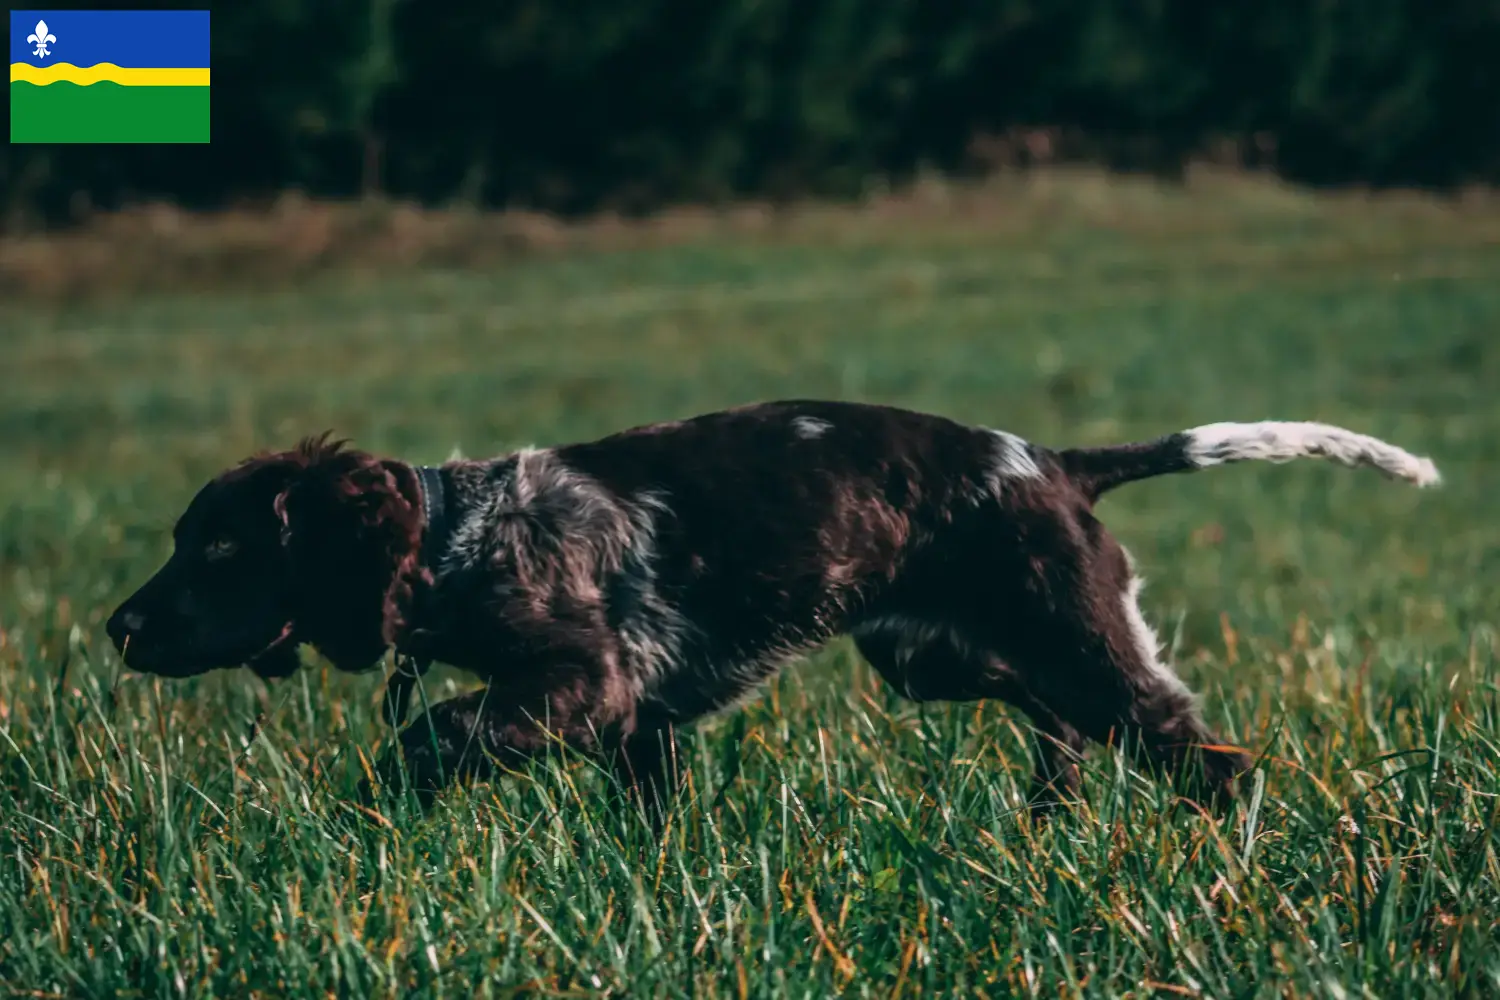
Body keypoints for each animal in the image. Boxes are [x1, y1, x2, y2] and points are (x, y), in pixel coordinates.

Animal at [105, 398, 1440, 815]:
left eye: (217, 545)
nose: (117, 627)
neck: (455, 537)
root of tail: (1056, 464)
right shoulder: (637, 726)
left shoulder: (584, 679)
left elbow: (437, 730)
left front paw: (380, 807)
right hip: (940, 655)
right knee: (1066, 724)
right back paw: (1048, 815)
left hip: (1076, 644)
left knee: (1210, 758)